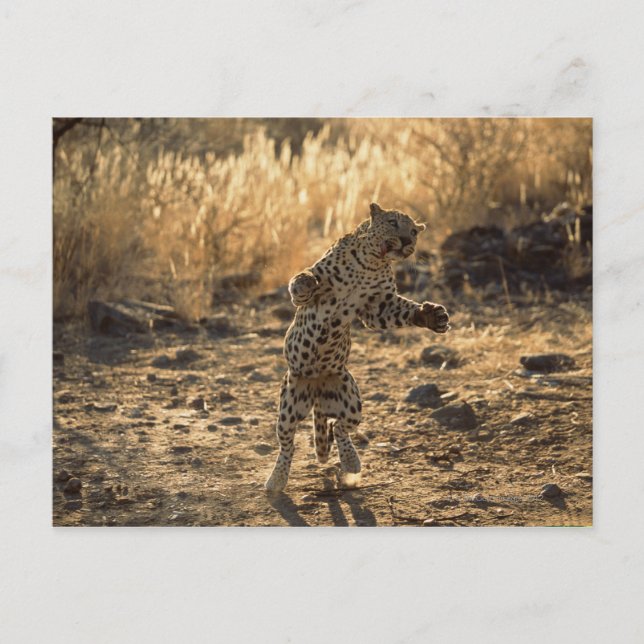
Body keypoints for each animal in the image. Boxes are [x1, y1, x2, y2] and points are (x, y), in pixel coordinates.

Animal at [265, 202, 450, 493]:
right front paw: (306, 282)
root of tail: (317, 387)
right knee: (287, 444)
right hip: (288, 404)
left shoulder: (378, 306)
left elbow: (400, 311)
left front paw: (431, 316)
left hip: (352, 400)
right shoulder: (319, 290)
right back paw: (276, 480)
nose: (407, 241)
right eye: (393, 223)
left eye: (413, 232)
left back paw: (351, 463)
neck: (370, 263)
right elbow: (303, 282)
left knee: (339, 428)